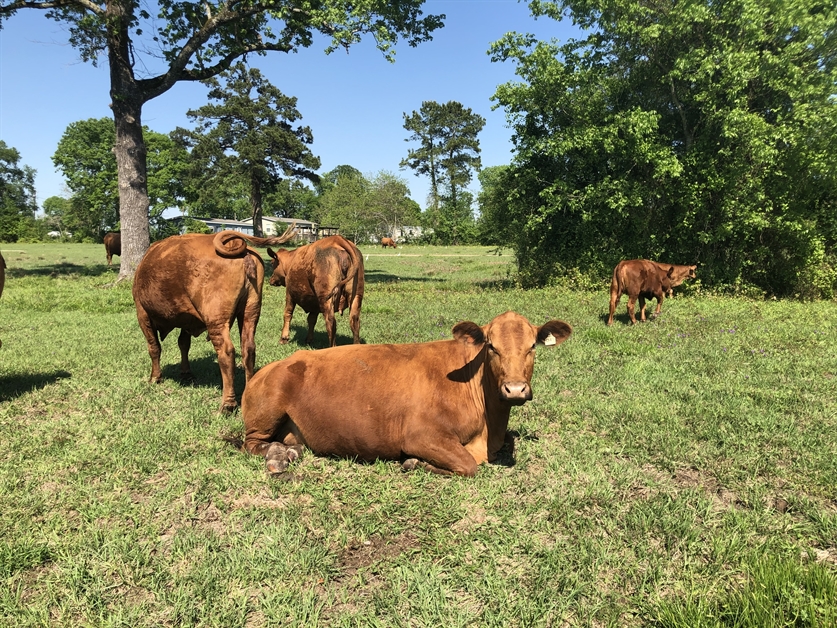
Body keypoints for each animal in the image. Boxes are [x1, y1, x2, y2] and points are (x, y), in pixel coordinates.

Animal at [132, 227, 296, 412]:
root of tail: (239, 247)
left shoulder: (142, 313)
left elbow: (154, 348)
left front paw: (155, 377)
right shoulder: (187, 318)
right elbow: (183, 344)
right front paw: (186, 372)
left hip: (216, 318)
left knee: (226, 352)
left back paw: (227, 404)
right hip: (250, 311)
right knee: (248, 349)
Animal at [241, 311, 573, 477]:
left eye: (532, 346)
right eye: (491, 346)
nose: (515, 389)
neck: (490, 426)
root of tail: (269, 367)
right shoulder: (419, 435)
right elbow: (467, 465)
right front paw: (415, 463)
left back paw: (289, 451)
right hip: (267, 409)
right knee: (251, 443)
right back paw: (277, 457)